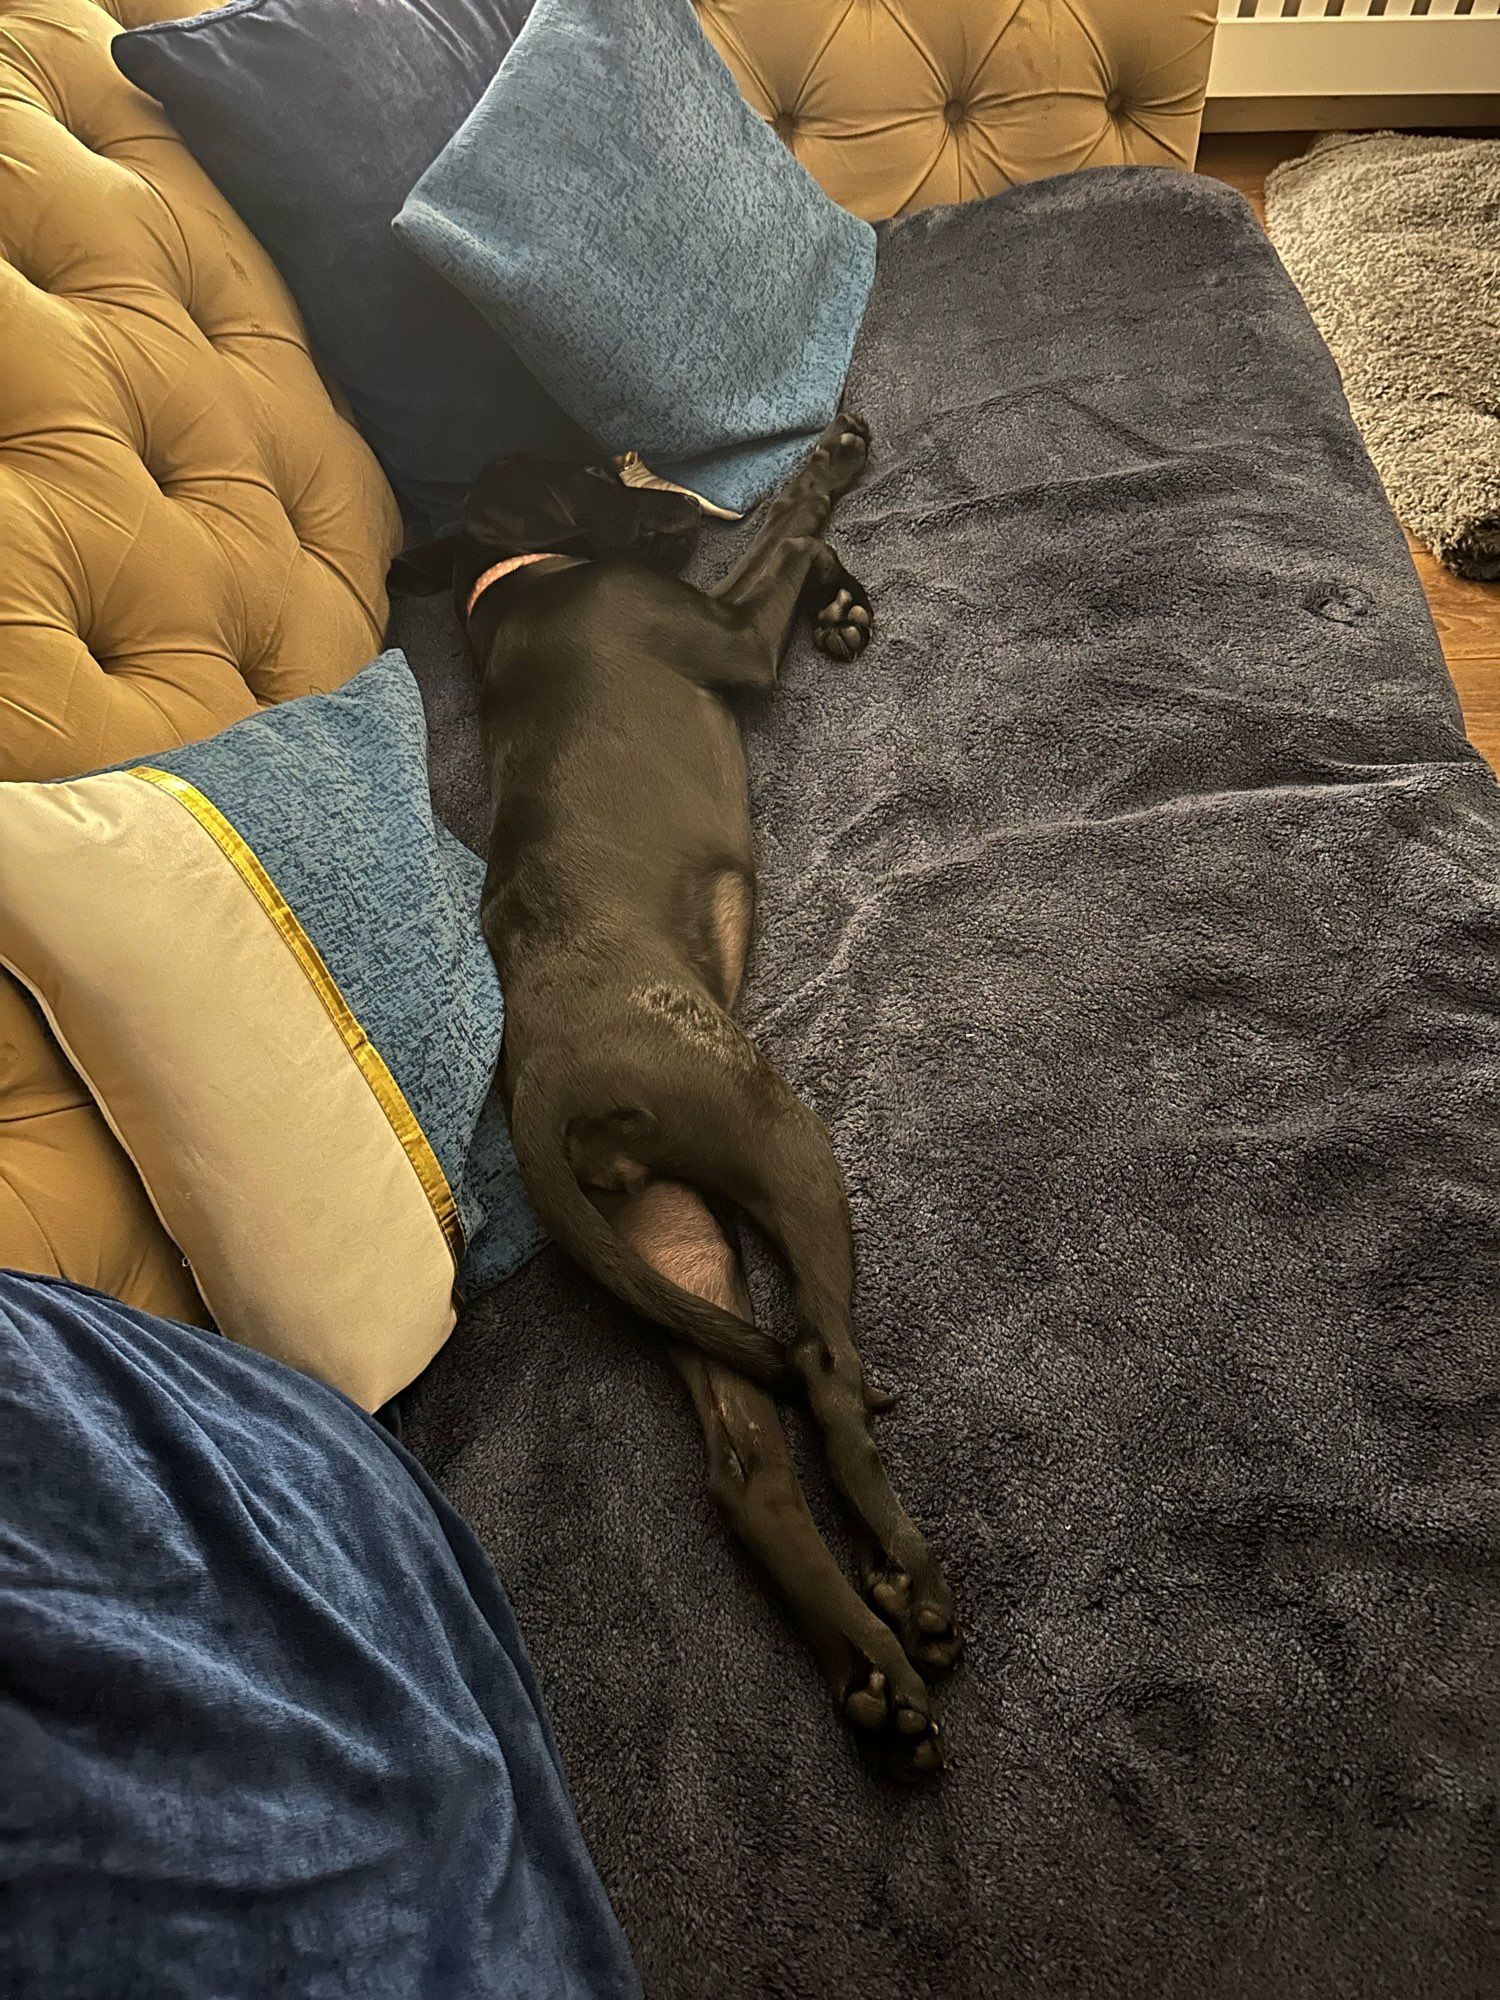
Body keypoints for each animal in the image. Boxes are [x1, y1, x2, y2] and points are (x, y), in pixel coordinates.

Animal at [390, 426, 964, 1784]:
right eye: (587, 467)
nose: (653, 483)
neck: (514, 582)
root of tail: (546, 1094)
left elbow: (788, 550)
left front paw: (844, 599)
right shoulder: (727, 630)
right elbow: (786, 524)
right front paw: (831, 461)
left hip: (668, 1245)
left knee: (747, 1461)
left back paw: (877, 1683)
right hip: (774, 1131)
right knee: (824, 1365)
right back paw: (911, 1592)